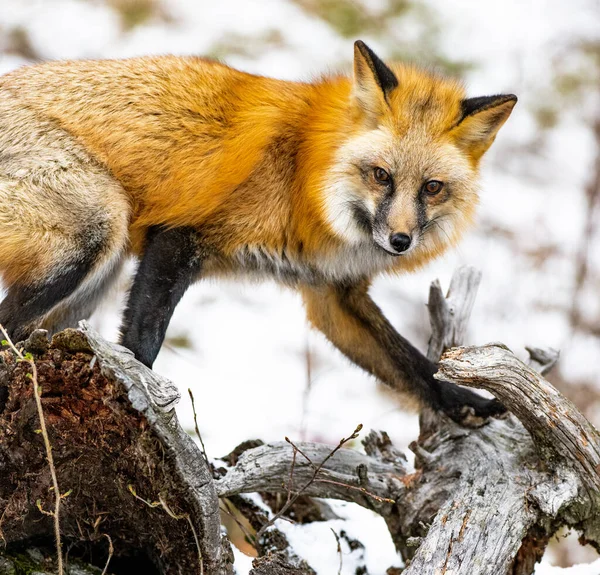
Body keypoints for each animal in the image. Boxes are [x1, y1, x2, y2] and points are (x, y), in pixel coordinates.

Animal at [0, 41, 516, 424]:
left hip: (94, 281)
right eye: (381, 176)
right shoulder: (178, 236)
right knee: (9, 323)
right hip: (98, 231)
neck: (301, 176)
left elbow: (411, 365)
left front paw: (465, 402)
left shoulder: (333, 295)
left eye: (432, 187)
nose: (400, 241)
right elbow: (144, 341)